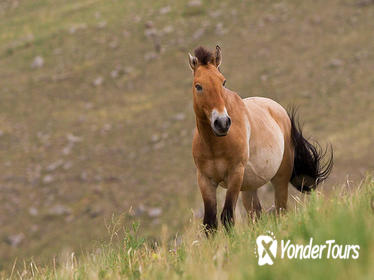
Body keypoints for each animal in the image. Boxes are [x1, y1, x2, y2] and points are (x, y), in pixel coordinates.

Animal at [187, 45, 334, 232]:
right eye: (198, 86)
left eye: (223, 82)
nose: (222, 122)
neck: (215, 145)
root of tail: (280, 111)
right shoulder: (205, 180)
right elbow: (210, 224)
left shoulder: (235, 173)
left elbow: (227, 217)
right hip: (249, 188)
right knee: (256, 215)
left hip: (279, 179)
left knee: (280, 210)